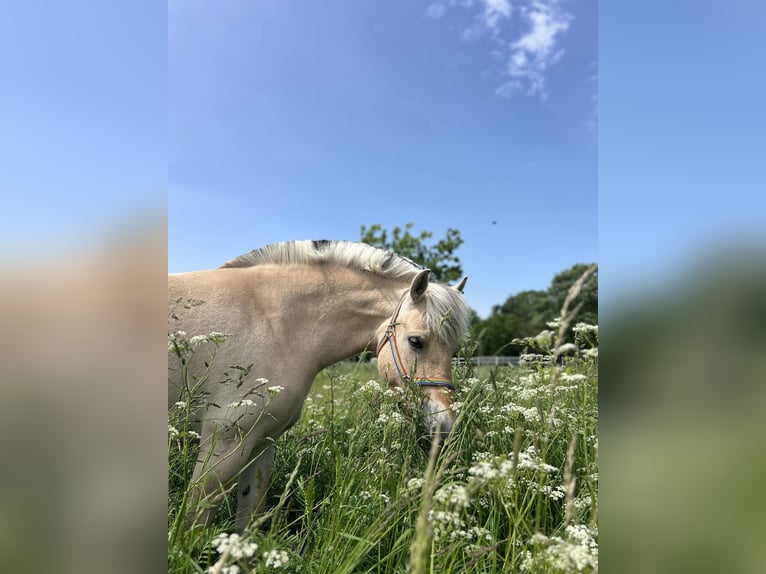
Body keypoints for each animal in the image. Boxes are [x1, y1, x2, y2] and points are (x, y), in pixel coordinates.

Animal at [168, 240, 470, 532]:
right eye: (416, 341)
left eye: (453, 349)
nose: (445, 427)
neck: (273, 320)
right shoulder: (224, 444)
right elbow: (193, 525)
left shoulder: (262, 443)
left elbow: (249, 519)